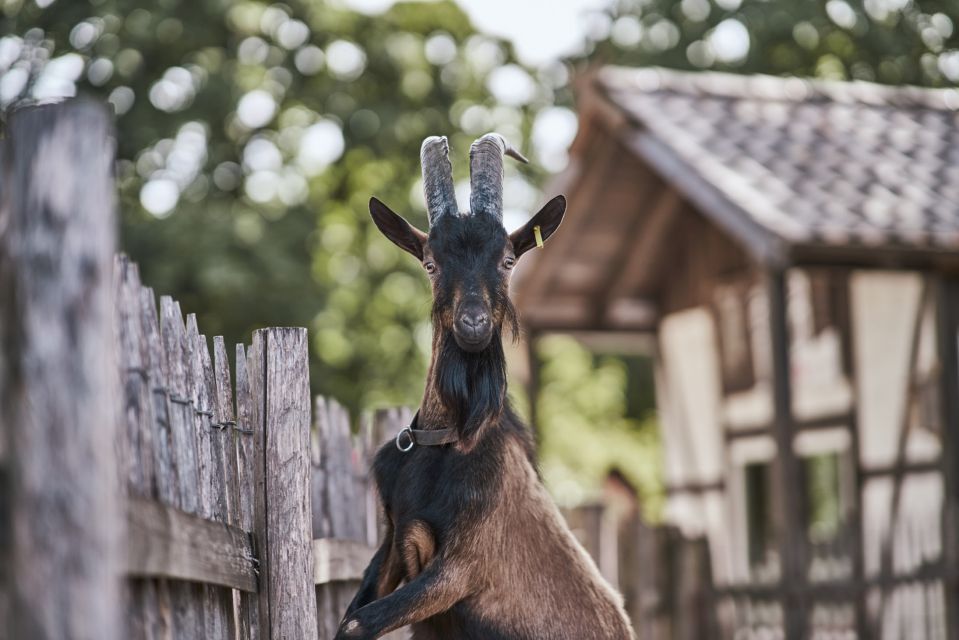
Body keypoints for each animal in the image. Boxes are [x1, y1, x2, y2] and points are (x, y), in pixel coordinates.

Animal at [338, 134, 636, 640]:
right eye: (431, 264)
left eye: (508, 259)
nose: (473, 324)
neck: (447, 438)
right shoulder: (393, 543)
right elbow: (350, 616)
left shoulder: (462, 566)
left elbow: (356, 624)